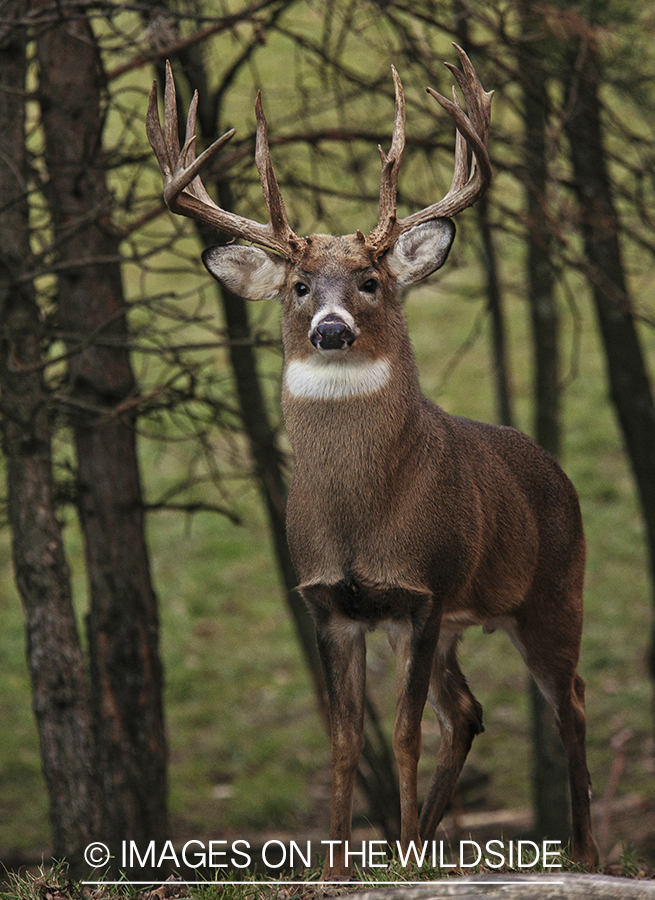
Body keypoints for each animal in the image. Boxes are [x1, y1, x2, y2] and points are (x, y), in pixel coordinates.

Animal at [147, 45, 600, 876]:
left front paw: (405, 859)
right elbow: (343, 742)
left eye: (370, 280)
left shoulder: (421, 592)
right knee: (468, 712)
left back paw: (580, 850)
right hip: (461, 620)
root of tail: (553, 467)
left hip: (552, 590)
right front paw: (335, 868)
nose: (329, 328)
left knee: (569, 699)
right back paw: (417, 840)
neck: (361, 517)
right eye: (297, 285)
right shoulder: (330, 603)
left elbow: (401, 734)